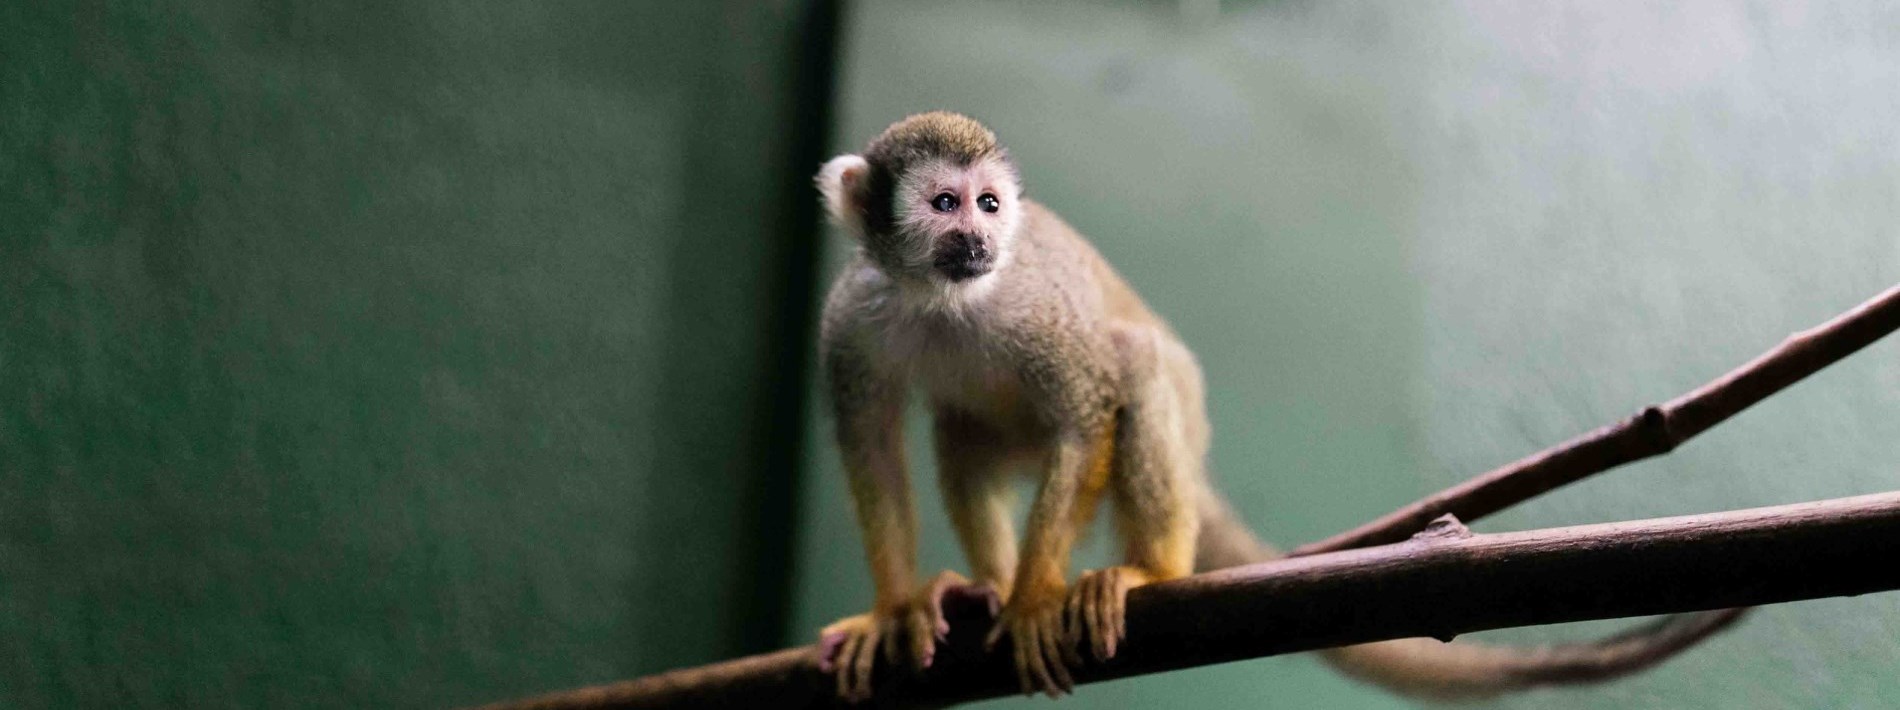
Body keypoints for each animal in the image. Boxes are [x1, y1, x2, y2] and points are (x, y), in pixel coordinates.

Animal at [813, 111, 1740, 698]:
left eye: (989, 205)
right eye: (944, 204)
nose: (977, 240)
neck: (946, 298)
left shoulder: (1037, 308)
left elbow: (1090, 408)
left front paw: (1037, 599)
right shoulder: (853, 314)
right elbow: (869, 441)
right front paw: (896, 610)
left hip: (1181, 413)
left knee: (1136, 364)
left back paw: (1146, 570)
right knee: (964, 436)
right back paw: (983, 587)